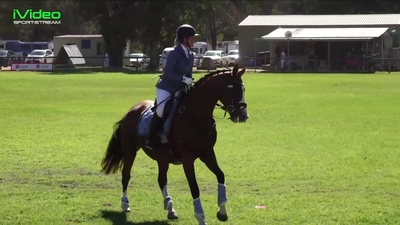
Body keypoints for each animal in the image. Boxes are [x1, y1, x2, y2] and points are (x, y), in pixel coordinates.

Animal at [101, 63, 248, 225]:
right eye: (231, 88)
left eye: (243, 89)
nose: (243, 116)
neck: (196, 116)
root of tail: (132, 110)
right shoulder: (188, 159)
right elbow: (194, 187)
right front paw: (201, 217)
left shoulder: (207, 153)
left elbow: (221, 176)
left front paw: (222, 212)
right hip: (130, 150)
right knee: (126, 175)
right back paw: (125, 204)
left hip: (162, 157)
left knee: (161, 180)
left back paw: (171, 209)